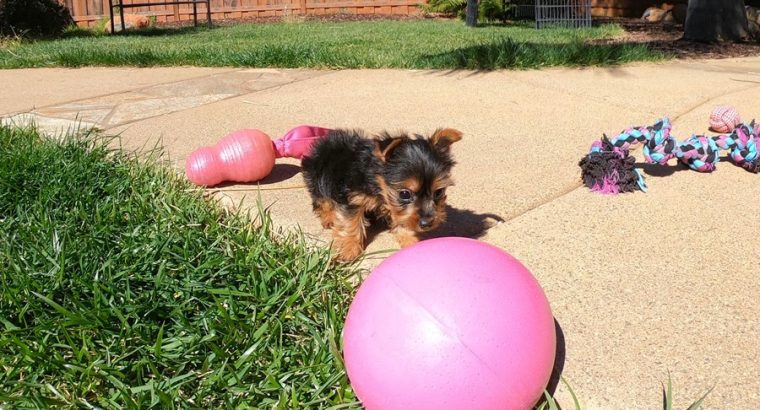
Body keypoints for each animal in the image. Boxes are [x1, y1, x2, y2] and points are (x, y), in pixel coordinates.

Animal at [300, 126, 460, 262]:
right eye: (405, 194)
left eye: (438, 192)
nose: (427, 223)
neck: (377, 183)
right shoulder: (352, 198)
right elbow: (350, 223)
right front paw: (348, 249)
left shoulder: (396, 207)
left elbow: (403, 219)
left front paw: (411, 241)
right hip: (317, 176)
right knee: (321, 199)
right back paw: (328, 217)